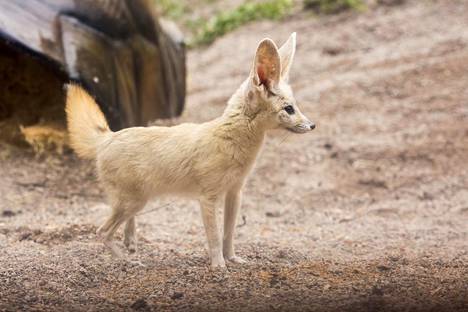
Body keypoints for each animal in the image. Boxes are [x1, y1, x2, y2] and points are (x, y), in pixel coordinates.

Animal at [65, 33, 314, 268]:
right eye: (289, 109)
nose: (312, 126)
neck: (231, 139)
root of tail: (108, 136)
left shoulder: (234, 192)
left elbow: (229, 234)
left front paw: (233, 259)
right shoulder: (208, 198)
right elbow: (214, 237)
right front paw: (219, 266)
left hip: (136, 201)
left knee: (119, 225)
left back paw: (131, 241)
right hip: (134, 202)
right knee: (102, 232)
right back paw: (128, 261)